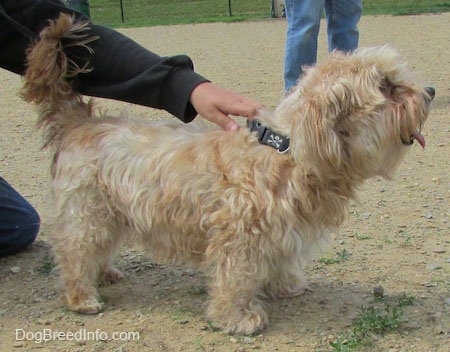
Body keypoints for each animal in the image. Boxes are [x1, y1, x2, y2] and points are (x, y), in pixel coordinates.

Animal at [22, 13, 434, 332]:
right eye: (386, 85)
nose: (430, 90)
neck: (287, 151)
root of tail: (79, 122)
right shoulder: (237, 239)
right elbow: (234, 281)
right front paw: (239, 318)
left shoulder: (279, 233)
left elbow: (279, 261)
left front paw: (285, 285)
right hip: (86, 214)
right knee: (74, 253)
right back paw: (82, 296)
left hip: (110, 213)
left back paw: (105, 273)